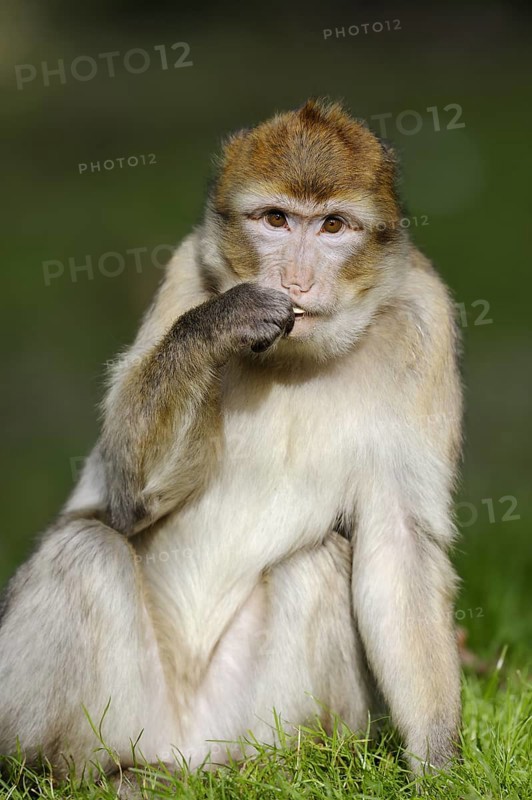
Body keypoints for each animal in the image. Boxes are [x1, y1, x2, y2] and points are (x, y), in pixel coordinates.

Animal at [0, 99, 462, 783]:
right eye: (275, 219)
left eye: (332, 227)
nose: (295, 279)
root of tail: (186, 752)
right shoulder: (184, 272)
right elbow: (128, 501)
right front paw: (219, 326)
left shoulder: (426, 319)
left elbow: (400, 542)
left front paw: (437, 760)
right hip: (128, 719)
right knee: (84, 550)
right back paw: (83, 775)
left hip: (244, 723)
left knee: (318, 562)